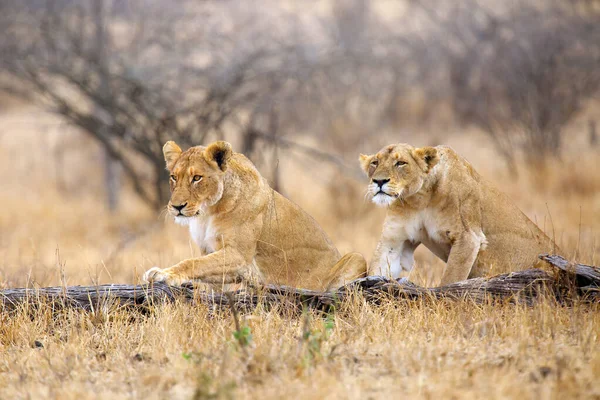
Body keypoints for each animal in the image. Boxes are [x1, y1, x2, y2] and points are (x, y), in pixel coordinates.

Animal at [142, 141, 366, 290]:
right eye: (173, 177)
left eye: (197, 178)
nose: (177, 206)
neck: (207, 213)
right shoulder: (212, 253)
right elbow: (205, 272)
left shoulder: (239, 255)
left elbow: (193, 262)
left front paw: (164, 274)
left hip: (356, 257)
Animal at [356, 143, 556, 284]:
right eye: (375, 162)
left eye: (400, 163)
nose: (379, 181)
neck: (419, 199)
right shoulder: (393, 240)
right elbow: (379, 266)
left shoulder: (468, 237)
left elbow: (450, 279)